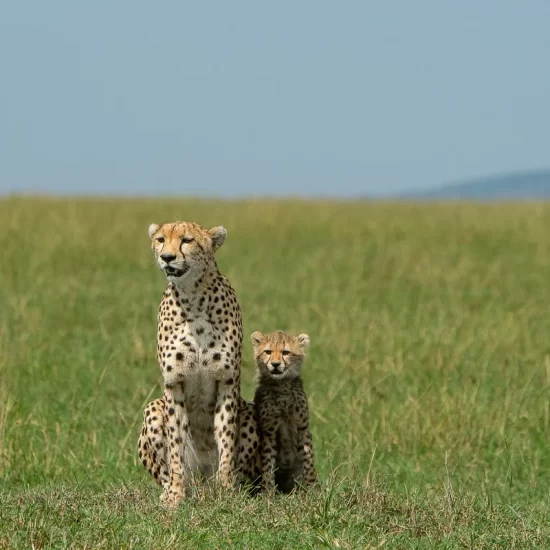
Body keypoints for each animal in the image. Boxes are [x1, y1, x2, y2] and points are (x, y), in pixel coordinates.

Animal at [137, 221, 260, 508]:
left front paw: (226, 491)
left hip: (250, 413)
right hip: (153, 408)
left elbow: (225, 437)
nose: (167, 257)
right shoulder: (174, 384)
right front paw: (175, 496)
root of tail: (203, 482)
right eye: (161, 239)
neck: (193, 297)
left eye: (187, 240)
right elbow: (175, 444)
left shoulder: (227, 381)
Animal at [251, 330, 316, 494]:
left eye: (286, 352)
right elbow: (267, 463)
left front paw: (313, 489)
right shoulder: (269, 431)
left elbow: (308, 460)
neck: (282, 386)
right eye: (267, 352)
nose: (275, 364)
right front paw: (268, 493)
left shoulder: (302, 427)